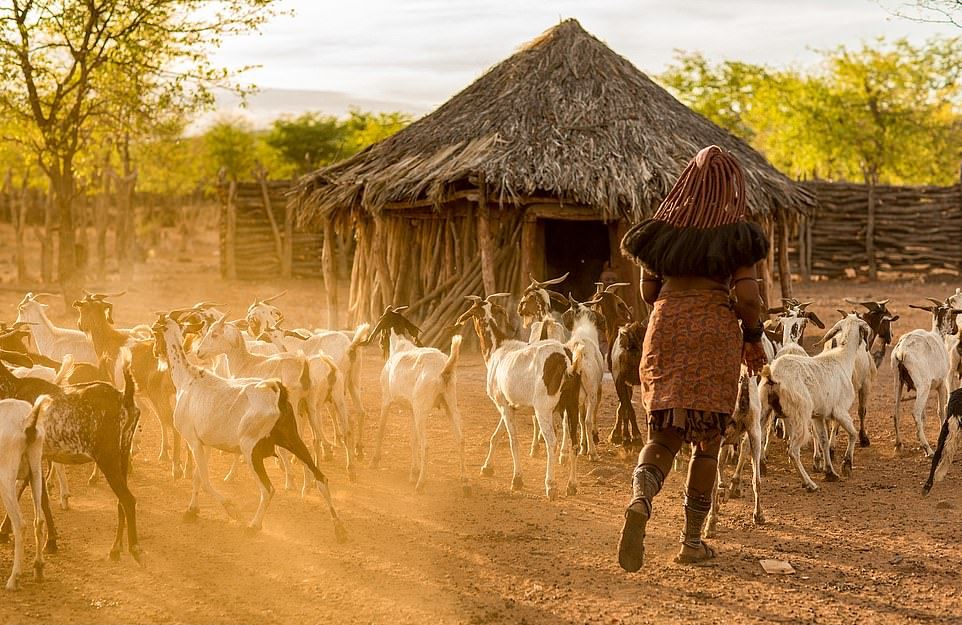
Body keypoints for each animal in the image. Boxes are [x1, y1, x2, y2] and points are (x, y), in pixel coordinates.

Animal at [150, 314, 344, 540]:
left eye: (155, 332)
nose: (155, 351)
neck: (187, 379)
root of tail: (277, 392)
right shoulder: (204, 443)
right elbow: (198, 478)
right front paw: (191, 511)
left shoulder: (193, 441)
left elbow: (205, 481)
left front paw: (231, 508)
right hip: (293, 439)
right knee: (321, 478)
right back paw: (339, 528)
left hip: (251, 450)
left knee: (268, 489)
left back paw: (253, 525)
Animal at [456, 294, 580, 500]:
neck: (498, 348)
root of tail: (566, 360)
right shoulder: (507, 404)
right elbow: (496, 435)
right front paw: (487, 467)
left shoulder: (502, 404)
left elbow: (512, 440)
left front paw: (517, 479)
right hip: (572, 405)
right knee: (575, 442)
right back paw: (572, 485)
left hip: (544, 409)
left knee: (552, 443)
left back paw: (551, 485)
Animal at [756, 314, 872, 490]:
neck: (842, 359)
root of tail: (772, 376)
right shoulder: (840, 411)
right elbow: (852, 434)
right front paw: (846, 465)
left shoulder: (818, 416)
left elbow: (824, 441)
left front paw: (830, 472)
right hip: (800, 415)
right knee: (793, 450)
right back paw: (809, 483)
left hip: (764, 410)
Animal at [888, 300, 956, 456]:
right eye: (952, 315)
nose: (955, 330)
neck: (938, 336)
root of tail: (901, 351)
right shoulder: (941, 384)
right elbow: (941, 411)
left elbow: (925, 415)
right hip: (923, 387)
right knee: (916, 413)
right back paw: (928, 449)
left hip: (898, 382)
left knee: (896, 412)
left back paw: (899, 444)